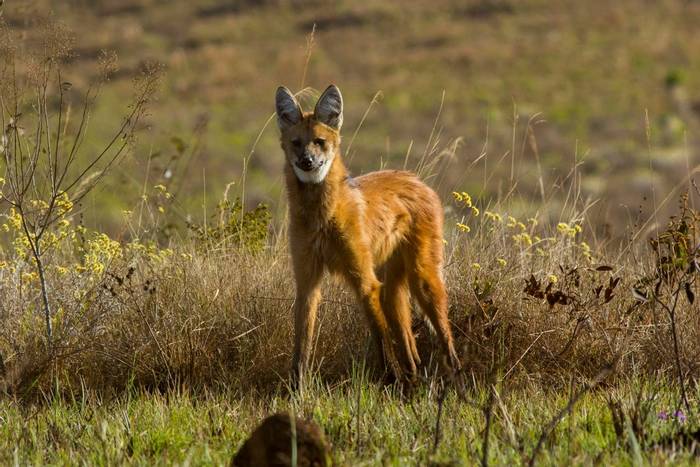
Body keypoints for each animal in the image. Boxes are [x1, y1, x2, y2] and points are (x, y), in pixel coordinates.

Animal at [276, 84, 462, 384]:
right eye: (296, 142)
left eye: (319, 141)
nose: (307, 161)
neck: (320, 217)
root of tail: (418, 180)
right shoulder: (307, 282)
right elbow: (302, 346)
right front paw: (298, 387)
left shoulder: (366, 283)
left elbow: (382, 343)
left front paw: (391, 380)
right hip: (392, 290)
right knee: (409, 345)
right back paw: (414, 380)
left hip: (422, 278)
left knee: (446, 341)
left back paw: (454, 381)